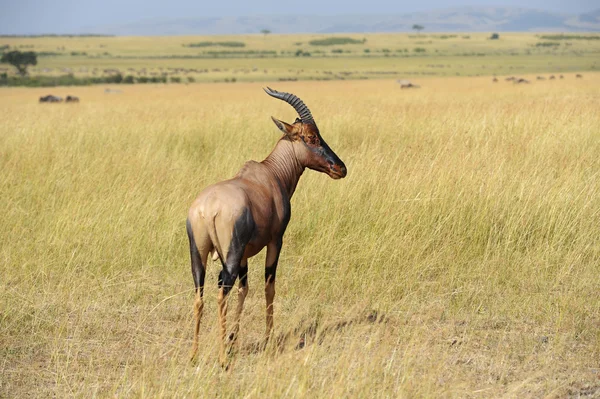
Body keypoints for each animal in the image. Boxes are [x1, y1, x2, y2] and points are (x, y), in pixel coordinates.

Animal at [186, 87, 346, 366]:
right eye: (311, 137)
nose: (340, 168)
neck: (271, 174)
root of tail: (208, 208)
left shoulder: (245, 256)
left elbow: (244, 289)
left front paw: (233, 340)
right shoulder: (275, 241)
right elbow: (269, 287)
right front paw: (268, 340)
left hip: (199, 254)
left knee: (200, 296)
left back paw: (195, 355)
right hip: (229, 256)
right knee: (221, 294)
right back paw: (222, 359)